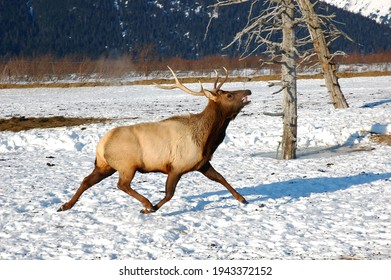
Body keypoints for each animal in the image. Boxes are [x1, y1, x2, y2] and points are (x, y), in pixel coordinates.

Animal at [57, 66, 251, 213]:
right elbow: (169, 193)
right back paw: (147, 203)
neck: (206, 142)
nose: (248, 90)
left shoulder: (202, 164)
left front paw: (242, 199)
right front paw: (152, 208)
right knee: (122, 185)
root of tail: (101, 144)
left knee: (87, 180)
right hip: (127, 165)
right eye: (229, 95)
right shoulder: (176, 167)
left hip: (104, 165)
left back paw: (65, 205)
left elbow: (221, 178)